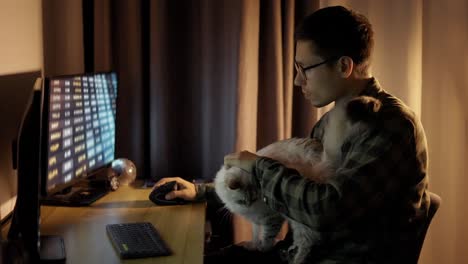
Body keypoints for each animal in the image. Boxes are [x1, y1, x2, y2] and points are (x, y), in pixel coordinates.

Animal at [214, 96, 382, 262]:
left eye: (254, 198)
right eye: (244, 201)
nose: (250, 204)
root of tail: (324, 161)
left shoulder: (271, 217)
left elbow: (267, 237)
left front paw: (263, 249)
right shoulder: (256, 220)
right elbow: (256, 234)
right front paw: (253, 245)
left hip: (299, 217)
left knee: (307, 242)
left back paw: (295, 258)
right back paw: (288, 251)